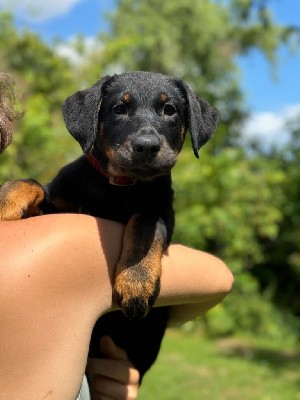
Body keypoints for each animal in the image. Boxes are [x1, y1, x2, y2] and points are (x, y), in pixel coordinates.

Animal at [0, 72, 218, 378]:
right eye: (119, 109)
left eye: (170, 110)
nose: (147, 146)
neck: (118, 187)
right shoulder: (59, 205)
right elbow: (30, 183)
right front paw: (5, 203)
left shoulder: (163, 212)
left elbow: (144, 222)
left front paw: (135, 281)